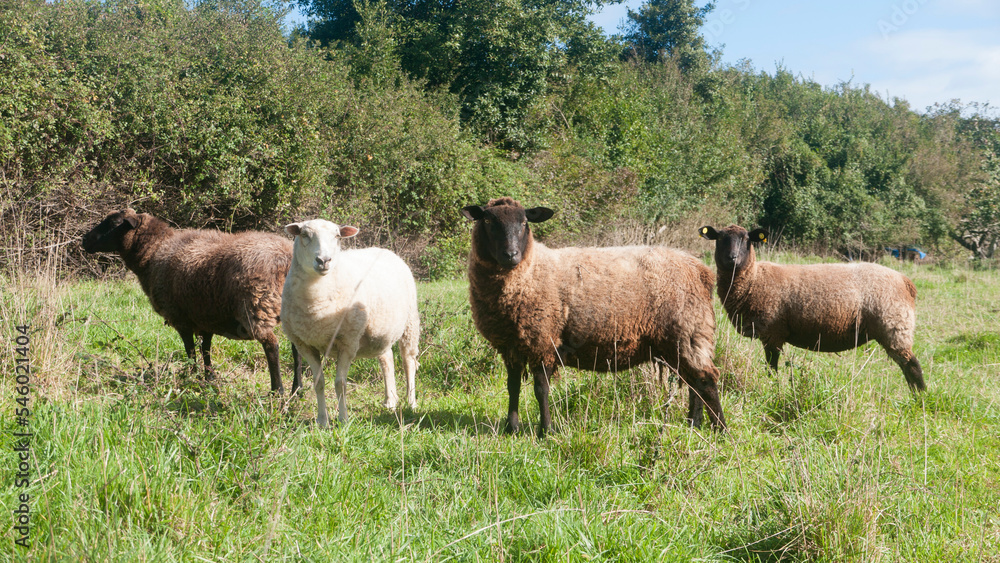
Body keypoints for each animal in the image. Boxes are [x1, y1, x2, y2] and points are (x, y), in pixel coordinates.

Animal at [81, 209, 302, 394]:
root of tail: (286, 257)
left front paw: (193, 377)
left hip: (257, 306)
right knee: (297, 347)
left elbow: (190, 351)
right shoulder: (205, 316)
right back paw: (297, 390)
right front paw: (209, 378)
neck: (154, 252)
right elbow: (206, 350)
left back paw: (277, 391)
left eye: (113, 223)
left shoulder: (181, 319)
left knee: (272, 346)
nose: (84, 240)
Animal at [280, 219, 419, 428]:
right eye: (304, 235)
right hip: (380, 331)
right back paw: (390, 401)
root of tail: (384, 250)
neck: (316, 304)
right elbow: (318, 382)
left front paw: (343, 419)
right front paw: (322, 421)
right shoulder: (304, 345)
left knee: (408, 361)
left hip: (410, 322)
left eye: (337, 236)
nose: (324, 261)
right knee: (387, 359)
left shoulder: (348, 341)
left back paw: (411, 402)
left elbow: (340, 383)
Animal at [461, 197, 726, 437]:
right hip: (680, 339)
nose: (511, 255)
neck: (530, 271)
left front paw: (546, 431)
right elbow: (513, 386)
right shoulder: (511, 346)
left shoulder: (543, 340)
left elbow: (541, 389)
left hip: (687, 331)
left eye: (524, 222)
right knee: (693, 382)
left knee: (705, 380)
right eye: (488, 221)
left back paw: (720, 429)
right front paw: (511, 429)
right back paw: (693, 425)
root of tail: (700, 269)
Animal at [699, 224, 925, 390]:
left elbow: (771, 367)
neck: (754, 280)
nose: (732, 258)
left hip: (895, 326)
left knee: (912, 366)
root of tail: (906, 281)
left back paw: (919, 399)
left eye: (747, 240)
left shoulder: (773, 333)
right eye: (720, 238)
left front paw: (772, 387)